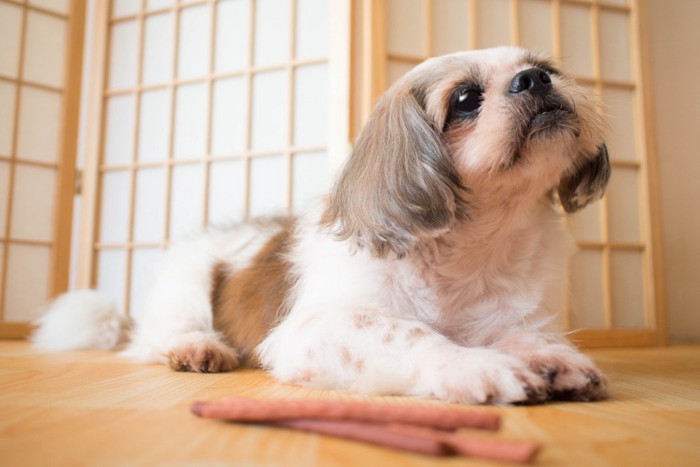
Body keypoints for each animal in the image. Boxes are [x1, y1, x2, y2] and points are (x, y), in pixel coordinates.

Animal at [35, 47, 608, 406]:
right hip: (188, 282)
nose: (535, 80)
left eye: (544, 68)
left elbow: (522, 336)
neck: (472, 249)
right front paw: (475, 367)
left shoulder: (511, 316)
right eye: (466, 99)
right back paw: (196, 348)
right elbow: (412, 335)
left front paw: (551, 360)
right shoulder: (319, 328)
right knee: (159, 336)